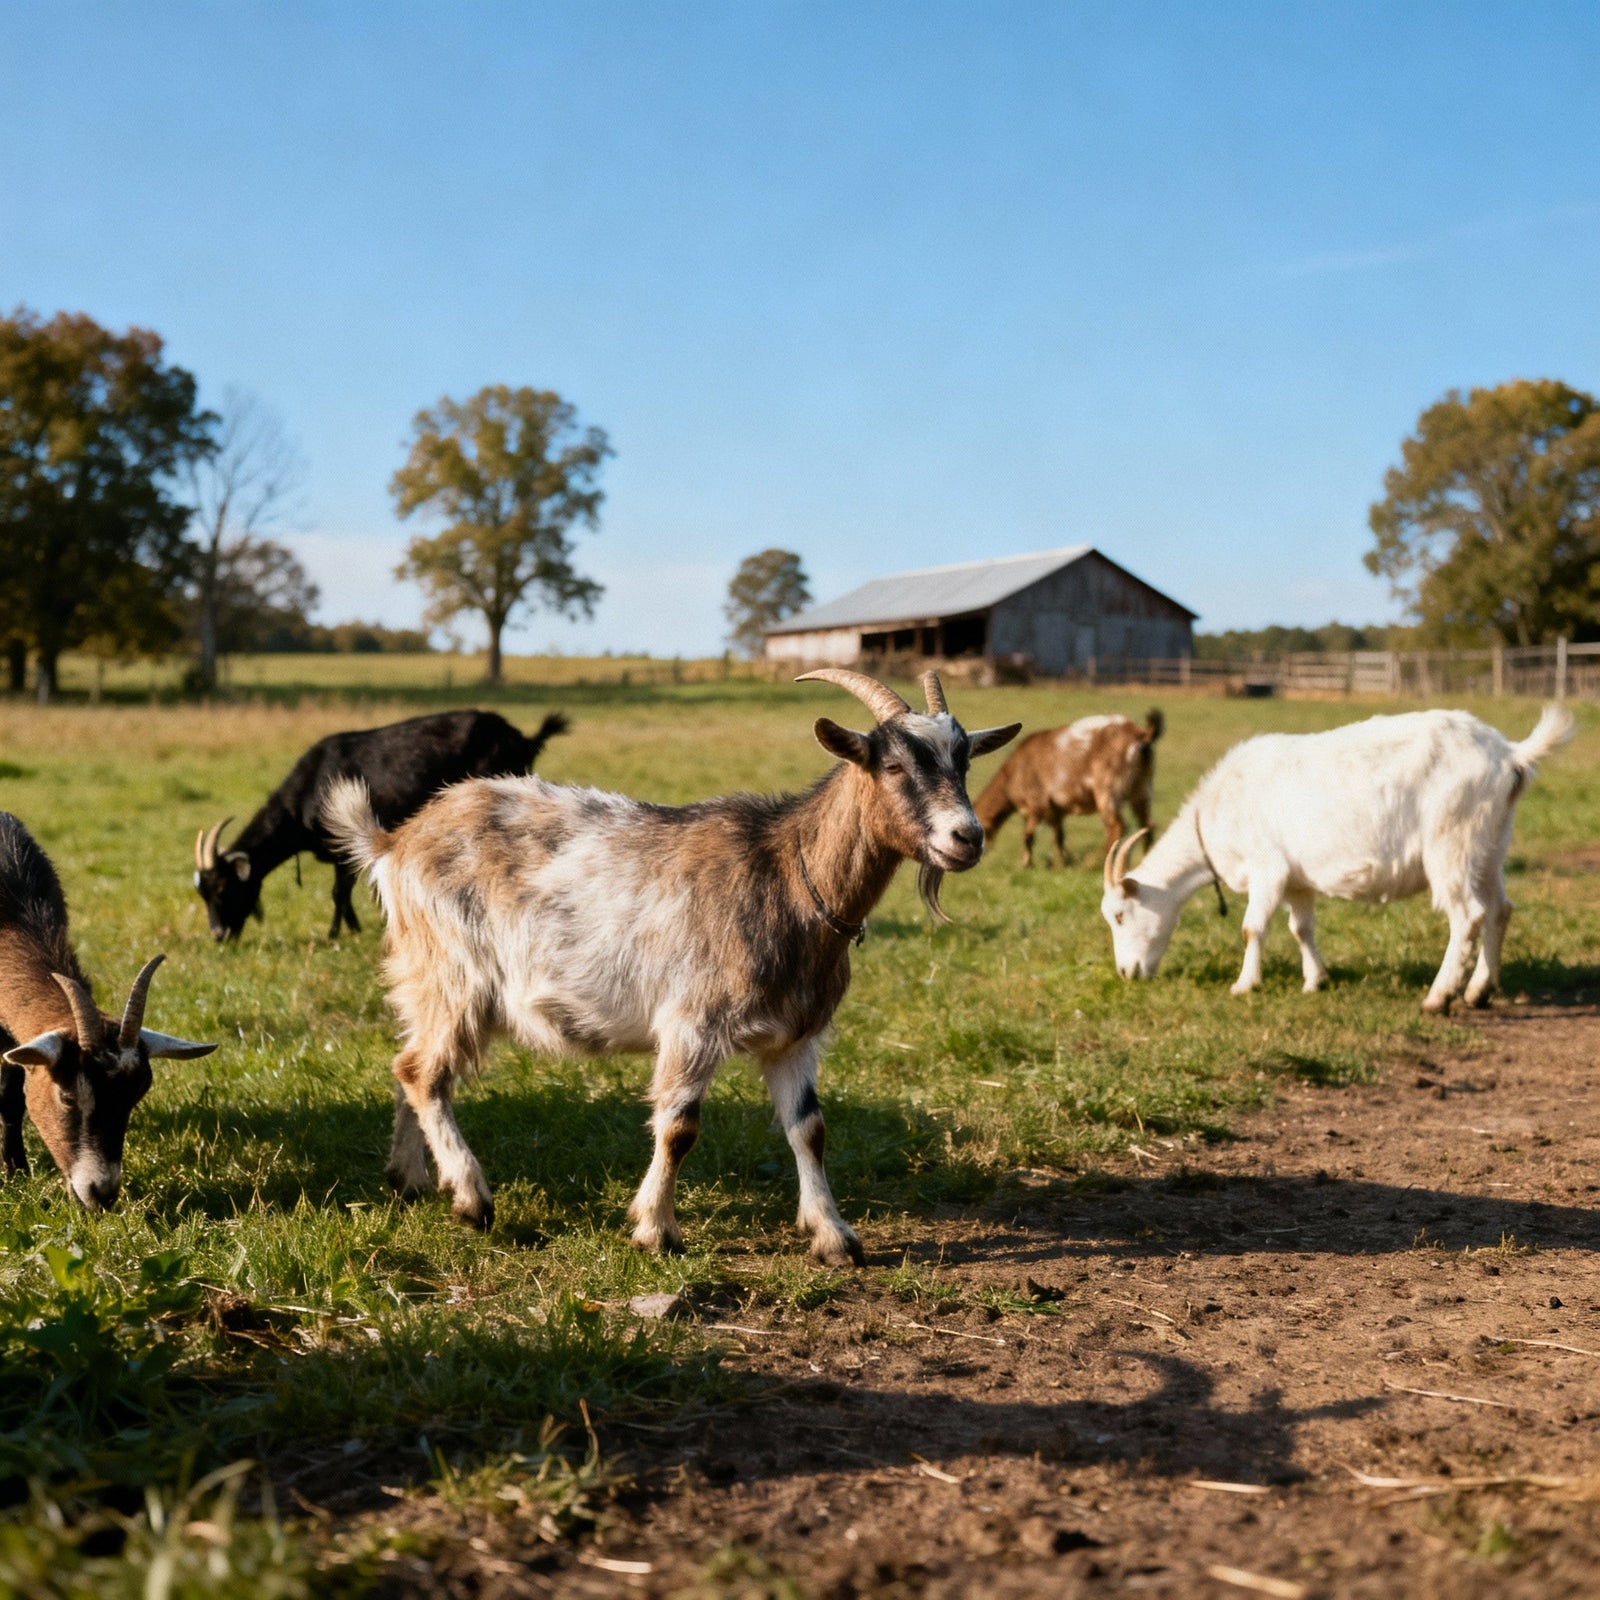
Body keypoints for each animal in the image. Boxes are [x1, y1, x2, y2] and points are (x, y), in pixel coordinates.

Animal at [0, 813, 215, 1209]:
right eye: (68, 1097)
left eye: (135, 1096)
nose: (100, 1194)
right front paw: (14, 1171)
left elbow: (12, 1096)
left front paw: (16, 1167)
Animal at [195, 708, 567, 941]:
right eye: (203, 892)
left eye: (224, 889)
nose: (218, 935)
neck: (307, 789)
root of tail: (521, 737)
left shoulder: (343, 850)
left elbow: (339, 893)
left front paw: (339, 934)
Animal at [322, 670, 1020, 1262]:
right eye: (894, 764)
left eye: (964, 762)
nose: (967, 837)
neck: (787, 878)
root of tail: (393, 841)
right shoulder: (692, 1021)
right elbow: (680, 1126)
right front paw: (655, 1230)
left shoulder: (796, 1036)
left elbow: (810, 1128)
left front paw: (833, 1236)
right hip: (455, 972)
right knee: (423, 1071)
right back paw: (471, 1198)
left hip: (425, 977)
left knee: (409, 1065)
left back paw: (411, 1177)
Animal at [975, 710, 1162, 867]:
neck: (1012, 774)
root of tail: (1142, 735)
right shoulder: (1055, 810)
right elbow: (1059, 836)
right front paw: (1060, 863)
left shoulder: (1037, 803)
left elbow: (1028, 836)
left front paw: (1027, 865)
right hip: (1142, 789)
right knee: (1147, 824)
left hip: (1108, 789)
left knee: (1117, 826)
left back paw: (1096, 862)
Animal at [1101, 706, 1574, 1012]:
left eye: (1121, 915)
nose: (1125, 973)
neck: (1219, 806)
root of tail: (1509, 754)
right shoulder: (1296, 880)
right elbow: (1301, 928)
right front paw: (1316, 981)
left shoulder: (1267, 868)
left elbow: (1252, 928)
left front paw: (1244, 985)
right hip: (1490, 845)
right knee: (1499, 910)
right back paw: (1480, 992)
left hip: (1451, 842)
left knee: (1468, 915)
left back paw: (1438, 997)